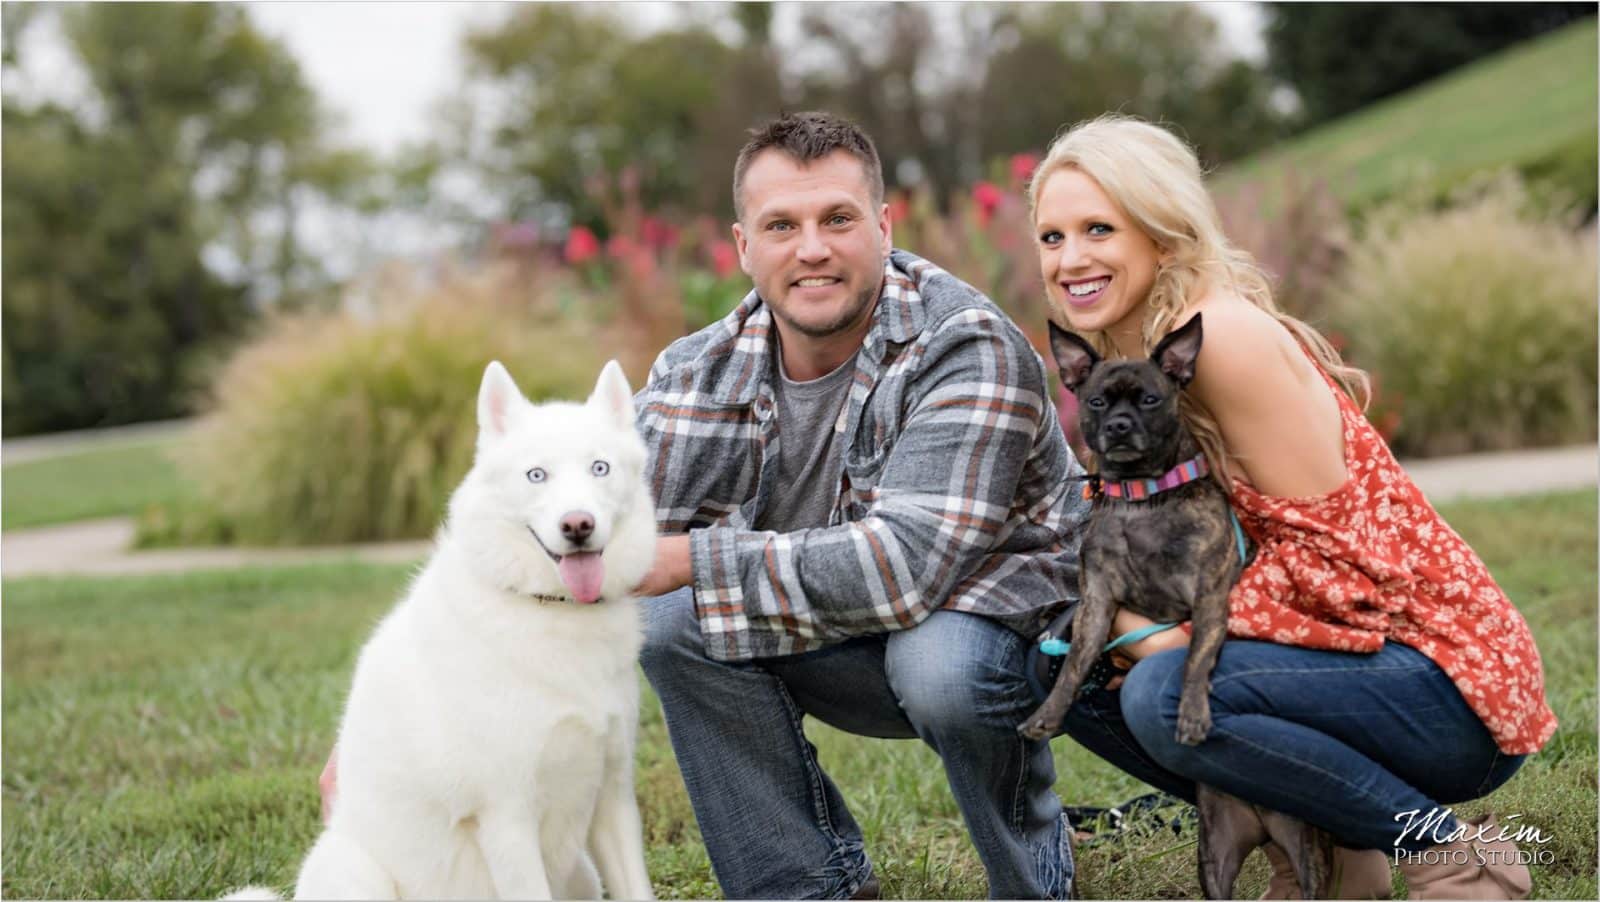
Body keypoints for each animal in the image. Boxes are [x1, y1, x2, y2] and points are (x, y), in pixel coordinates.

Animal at [235, 361, 656, 902]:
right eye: (536, 475)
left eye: (599, 468)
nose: (577, 525)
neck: (549, 609)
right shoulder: (508, 820)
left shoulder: (613, 797)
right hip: (355, 870)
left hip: (582, 872)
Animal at [1024, 313, 1337, 895]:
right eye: (1097, 402)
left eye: (1150, 399)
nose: (1119, 426)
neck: (1142, 499)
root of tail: (1260, 817)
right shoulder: (1097, 605)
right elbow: (1073, 665)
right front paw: (1047, 714)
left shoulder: (1208, 597)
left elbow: (1193, 660)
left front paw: (1192, 716)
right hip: (1214, 858)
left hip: (1306, 851)